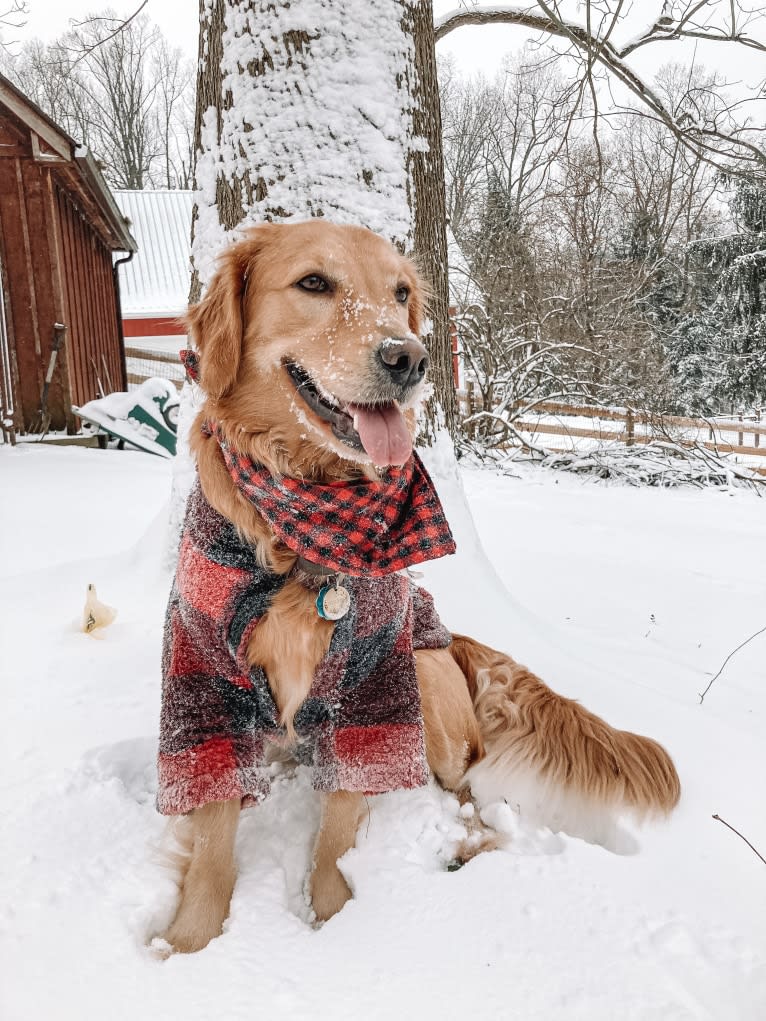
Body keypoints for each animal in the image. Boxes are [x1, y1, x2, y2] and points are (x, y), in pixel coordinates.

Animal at [157, 219, 682, 951]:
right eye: (314, 282)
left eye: (401, 292)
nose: (408, 360)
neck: (303, 524)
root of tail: (458, 641)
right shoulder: (202, 672)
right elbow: (212, 833)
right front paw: (188, 942)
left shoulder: (376, 687)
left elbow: (337, 829)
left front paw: (338, 921)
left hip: (426, 682)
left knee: (471, 798)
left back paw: (462, 845)